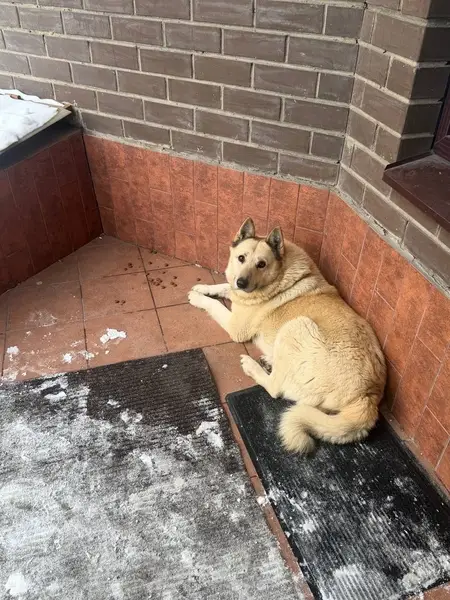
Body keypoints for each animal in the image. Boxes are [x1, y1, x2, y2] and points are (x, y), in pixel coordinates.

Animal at [188, 218, 386, 453]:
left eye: (261, 264)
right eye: (241, 258)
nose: (242, 283)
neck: (280, 274)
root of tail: (368, 396)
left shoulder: (236, 327)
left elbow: (215, 304)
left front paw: (198, 298)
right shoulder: (237, 291)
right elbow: (224, 287)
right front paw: (203, 287)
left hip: (295, 327)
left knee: (276, 389)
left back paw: (253, 367)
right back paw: (268, 359)